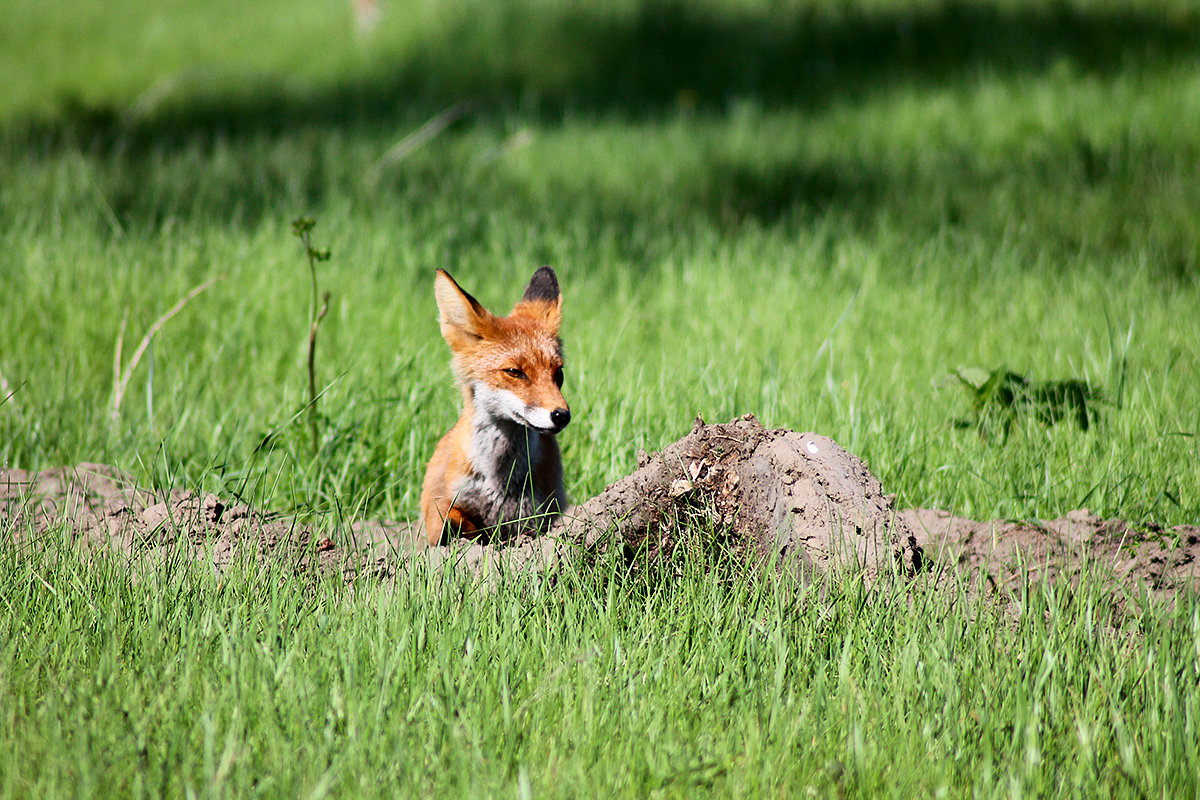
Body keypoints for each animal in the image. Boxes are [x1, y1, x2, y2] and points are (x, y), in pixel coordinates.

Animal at [422, 266, 571, 546]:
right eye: (514, 372)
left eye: (558, 373)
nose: (561, 415)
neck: (500, 482)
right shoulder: (445, 503)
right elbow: (449, 523)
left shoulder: (539, 515)